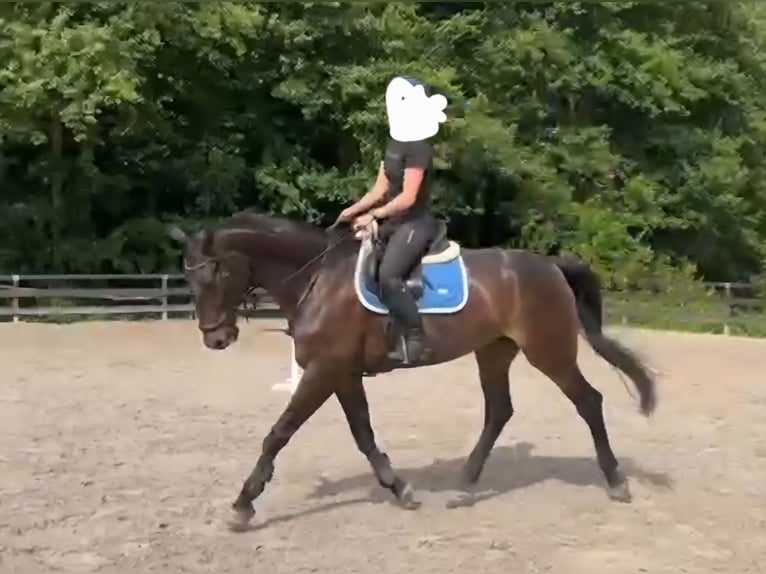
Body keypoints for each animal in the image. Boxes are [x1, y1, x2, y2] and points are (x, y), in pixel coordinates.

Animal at [170, 210, 657, 530]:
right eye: (190, 279)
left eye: (215, 275)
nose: (215, 338)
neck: (318, 279)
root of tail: (550, 265)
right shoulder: (343, 375)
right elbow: (363, 435)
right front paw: (399, 489)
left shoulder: (324, 372)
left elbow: (279, 433)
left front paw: (243, 504)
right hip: (494, 352)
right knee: (499, 411)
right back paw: (465, 487)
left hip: (548, 351)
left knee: (589, 401)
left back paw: (617, 482)